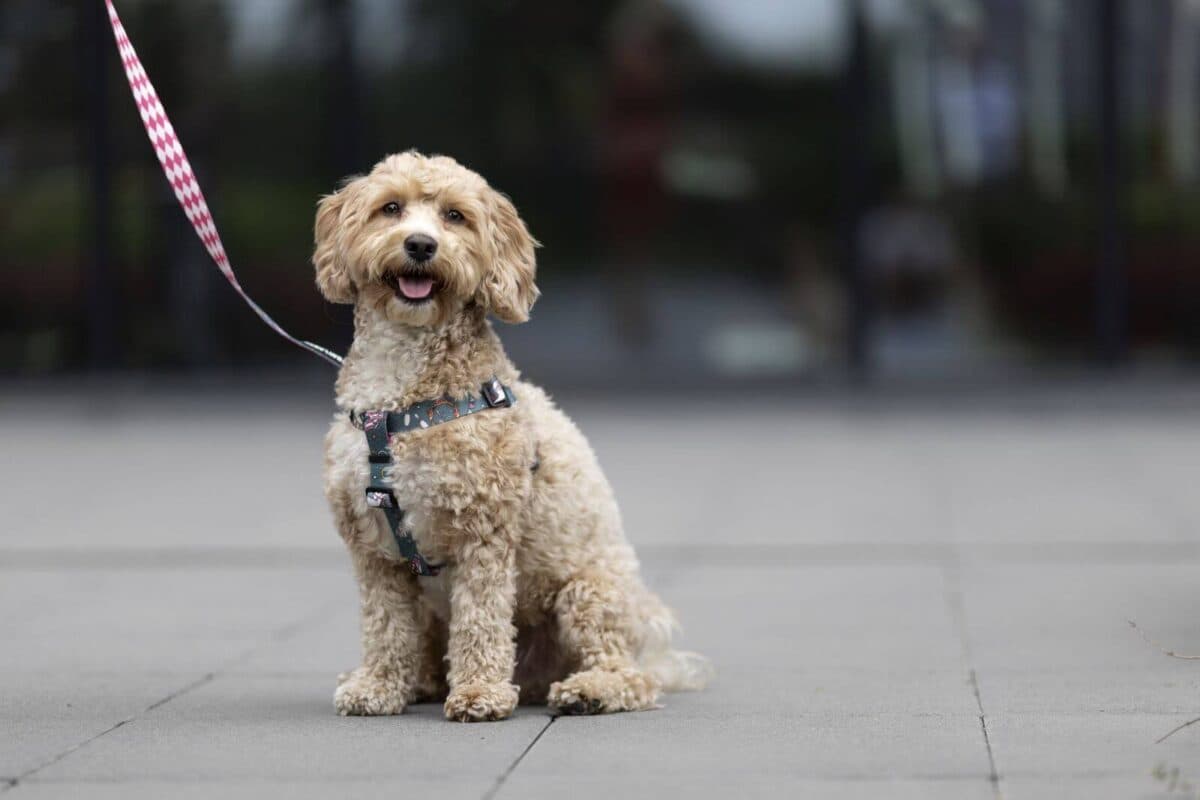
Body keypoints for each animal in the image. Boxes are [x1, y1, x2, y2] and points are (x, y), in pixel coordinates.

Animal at [312, 151, 710, 724]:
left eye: (455, 216)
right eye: (390, 208)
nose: (420, 245)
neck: (401, 405)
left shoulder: (484, 533)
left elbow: (480, 620)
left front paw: (479, 692)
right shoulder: (374, 549)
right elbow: (385, 624)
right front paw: (378, 686)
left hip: (589, 592)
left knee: (629, 675)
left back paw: (589, 690)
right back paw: (416, 681)